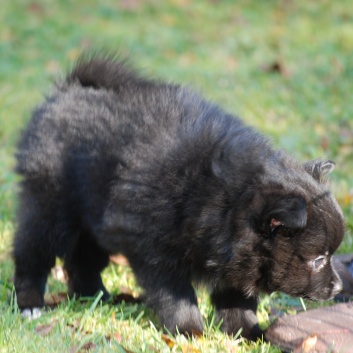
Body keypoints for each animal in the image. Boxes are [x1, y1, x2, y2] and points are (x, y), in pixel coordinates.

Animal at [14, 56, 344, 340]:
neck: (224, 201)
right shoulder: (157, 254)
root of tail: (71, 88)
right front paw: (190, 331)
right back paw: (30, 303)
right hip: (51, 205)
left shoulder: (238, 261)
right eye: (318, 259)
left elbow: (237, 300)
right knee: (32, 250)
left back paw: (95, 296)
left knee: (83, 258)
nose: (338, 286)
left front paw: (248, 333)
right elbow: (177, 297)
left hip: (93, 217)